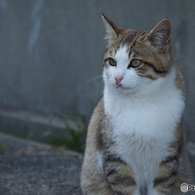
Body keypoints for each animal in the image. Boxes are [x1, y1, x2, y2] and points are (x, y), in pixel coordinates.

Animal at [80, 14, 192, 194]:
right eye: (112, 62)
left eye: (136, 63)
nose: (117, 78)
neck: (140, 99)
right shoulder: (116, 159)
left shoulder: (167, 160)